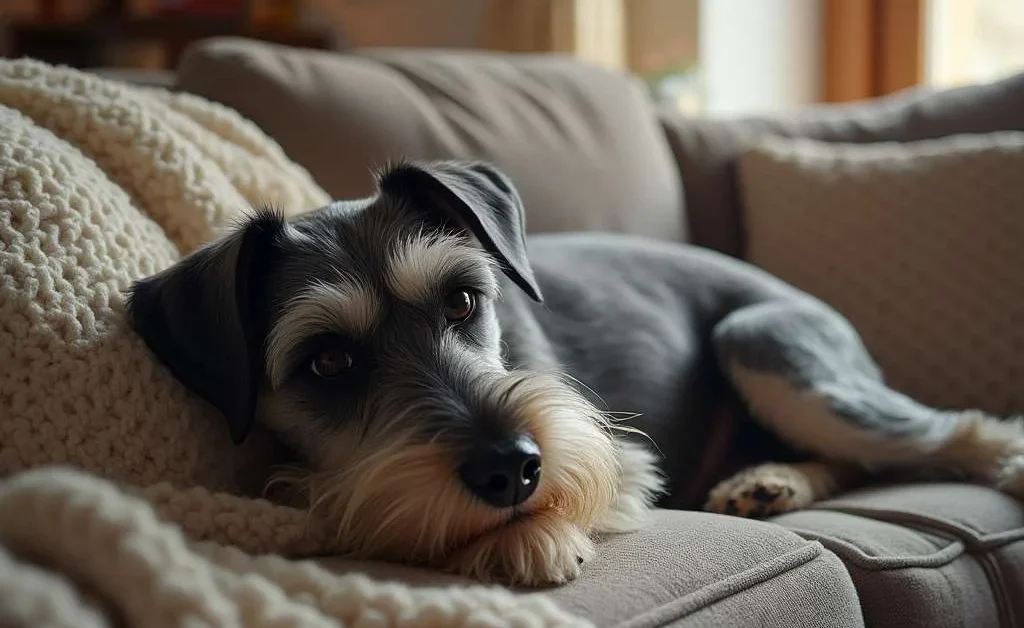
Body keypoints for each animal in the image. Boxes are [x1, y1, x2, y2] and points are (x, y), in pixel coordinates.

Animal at [125, 158, 1024, 585]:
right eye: (328, 360)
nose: (512, 468)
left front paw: (533, 536)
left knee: (961, 429)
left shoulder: (617, 452)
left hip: (763, 341)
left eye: (463, 300)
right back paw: (769, 481)